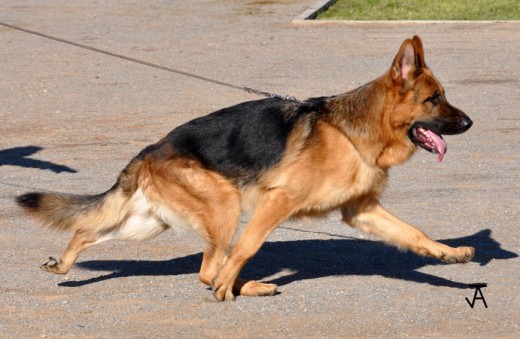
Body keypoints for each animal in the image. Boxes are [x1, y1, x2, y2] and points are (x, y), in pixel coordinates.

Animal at [16, 36, 474, 302]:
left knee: (86, 230)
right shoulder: (278, 202)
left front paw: (449, 255)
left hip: (149, 222)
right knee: (210, 267)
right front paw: (230, 284)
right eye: (434, 99)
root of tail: (149, 151)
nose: (470, 123)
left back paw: (63, 264)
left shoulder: (362, 211)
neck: (351, 131)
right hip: (225, 209)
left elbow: (414, 233)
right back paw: (237, 285)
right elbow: (247, 248)